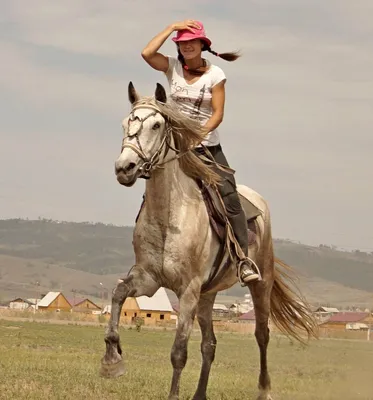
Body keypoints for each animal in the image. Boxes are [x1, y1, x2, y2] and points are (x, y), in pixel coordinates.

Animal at [99, 82, 316, 400]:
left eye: (156, 125)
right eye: (126, 123)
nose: (124, 167)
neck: (169, 215)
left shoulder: (188, 290)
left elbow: (179, 352)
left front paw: (173, 395)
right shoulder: (148, 279)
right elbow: (117, 293)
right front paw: (111, 360)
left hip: (259, 283)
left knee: (261, 334)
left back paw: (264, 390)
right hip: (207, 294)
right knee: (209, 344)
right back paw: (200, 394)